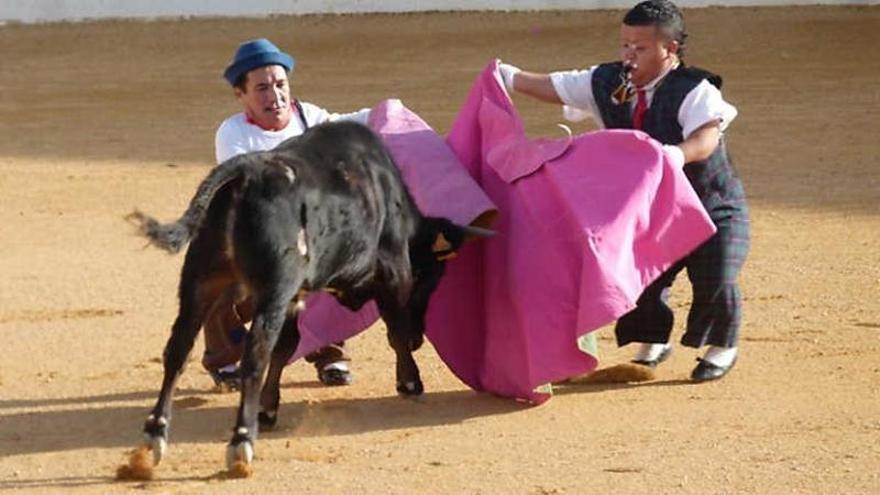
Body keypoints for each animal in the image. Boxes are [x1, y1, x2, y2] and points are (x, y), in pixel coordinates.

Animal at [127, 122, 492, 470]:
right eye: (428, 278)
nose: (421, 339)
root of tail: (247, 172)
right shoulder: (392, 269)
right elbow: (395, 330)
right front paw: (410, 382)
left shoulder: (294, 297)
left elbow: (287, 346)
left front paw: (268, 408)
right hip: (271, 287)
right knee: (253, 356)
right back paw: (241, 443)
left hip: (200, 280)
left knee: (178, 350)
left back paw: (154, 437)